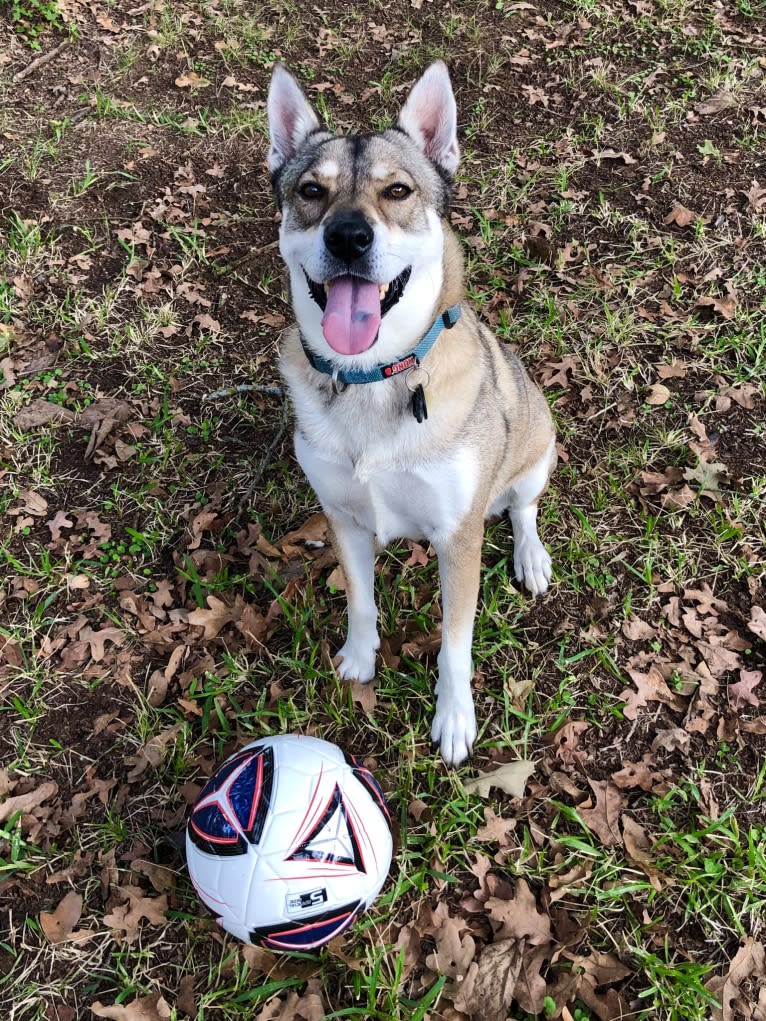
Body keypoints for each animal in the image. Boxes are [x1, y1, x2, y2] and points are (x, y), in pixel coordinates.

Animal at [267, 61, 555, 767]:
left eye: (397, 190)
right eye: (311, 190)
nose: (348, 236)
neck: (374, 378)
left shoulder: (458, 535)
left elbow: (455, 643)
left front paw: (454, 718)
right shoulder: (342, 515)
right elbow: (361, 602)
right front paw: (358, 659)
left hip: (539, 442)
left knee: (525, 506)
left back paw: (532, 557)